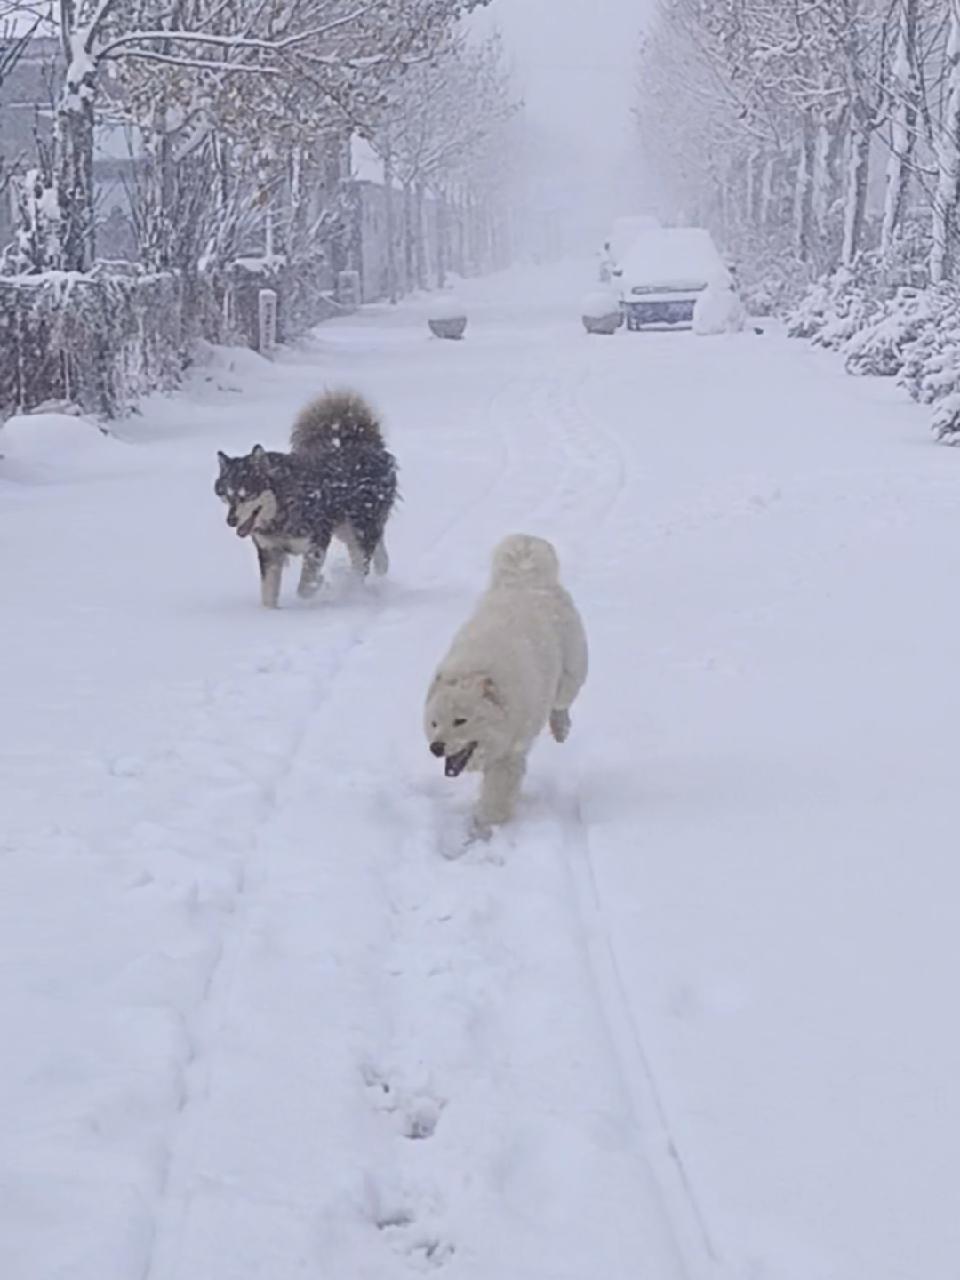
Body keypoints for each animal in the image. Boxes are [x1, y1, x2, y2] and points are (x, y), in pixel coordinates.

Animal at [427, 529, 591, 829]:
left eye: (460, 721)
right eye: (434, 723)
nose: (436, 747)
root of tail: (525, 579)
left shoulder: (509, 754)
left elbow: (496, 798)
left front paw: (484, 827)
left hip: (572, 674)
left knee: (561, 702)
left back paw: (561, 728)